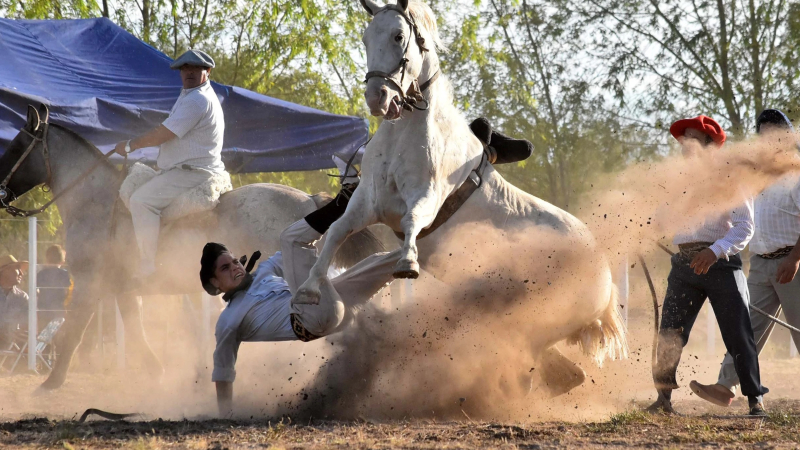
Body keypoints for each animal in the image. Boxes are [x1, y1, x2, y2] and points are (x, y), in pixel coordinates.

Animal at [0, 104, 385, 390]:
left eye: (17, 145)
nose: (1, 191)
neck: (97, 200)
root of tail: (309, 201)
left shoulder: (89, 285)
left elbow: (73, 332)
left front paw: (49, 383)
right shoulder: (121, 289)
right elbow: (134, 328)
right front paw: (156, 371)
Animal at [291, 0, 628, 393]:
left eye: (399, 36)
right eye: (365, 37)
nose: (378, 98)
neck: (406, 136)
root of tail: (605, 280)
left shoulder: (425, 198)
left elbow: (411, 221)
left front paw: (408, 262)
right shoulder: (366, 205)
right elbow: (335, 233)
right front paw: (309, 289)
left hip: (538, 318)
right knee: (555, 369)